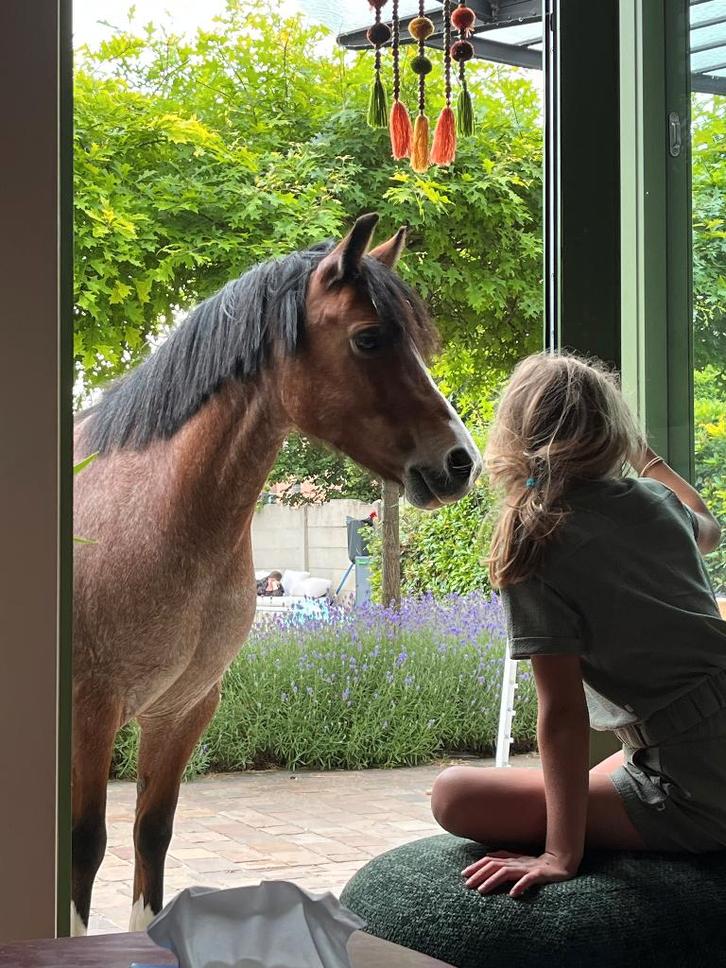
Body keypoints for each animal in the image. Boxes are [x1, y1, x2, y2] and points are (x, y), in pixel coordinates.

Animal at [71, 213, 481, 935]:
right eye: (369, 337)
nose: (461, 462)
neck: (150, 516)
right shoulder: (90, 713)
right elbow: (84, 849)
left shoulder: (182, 712)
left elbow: (152, 834)